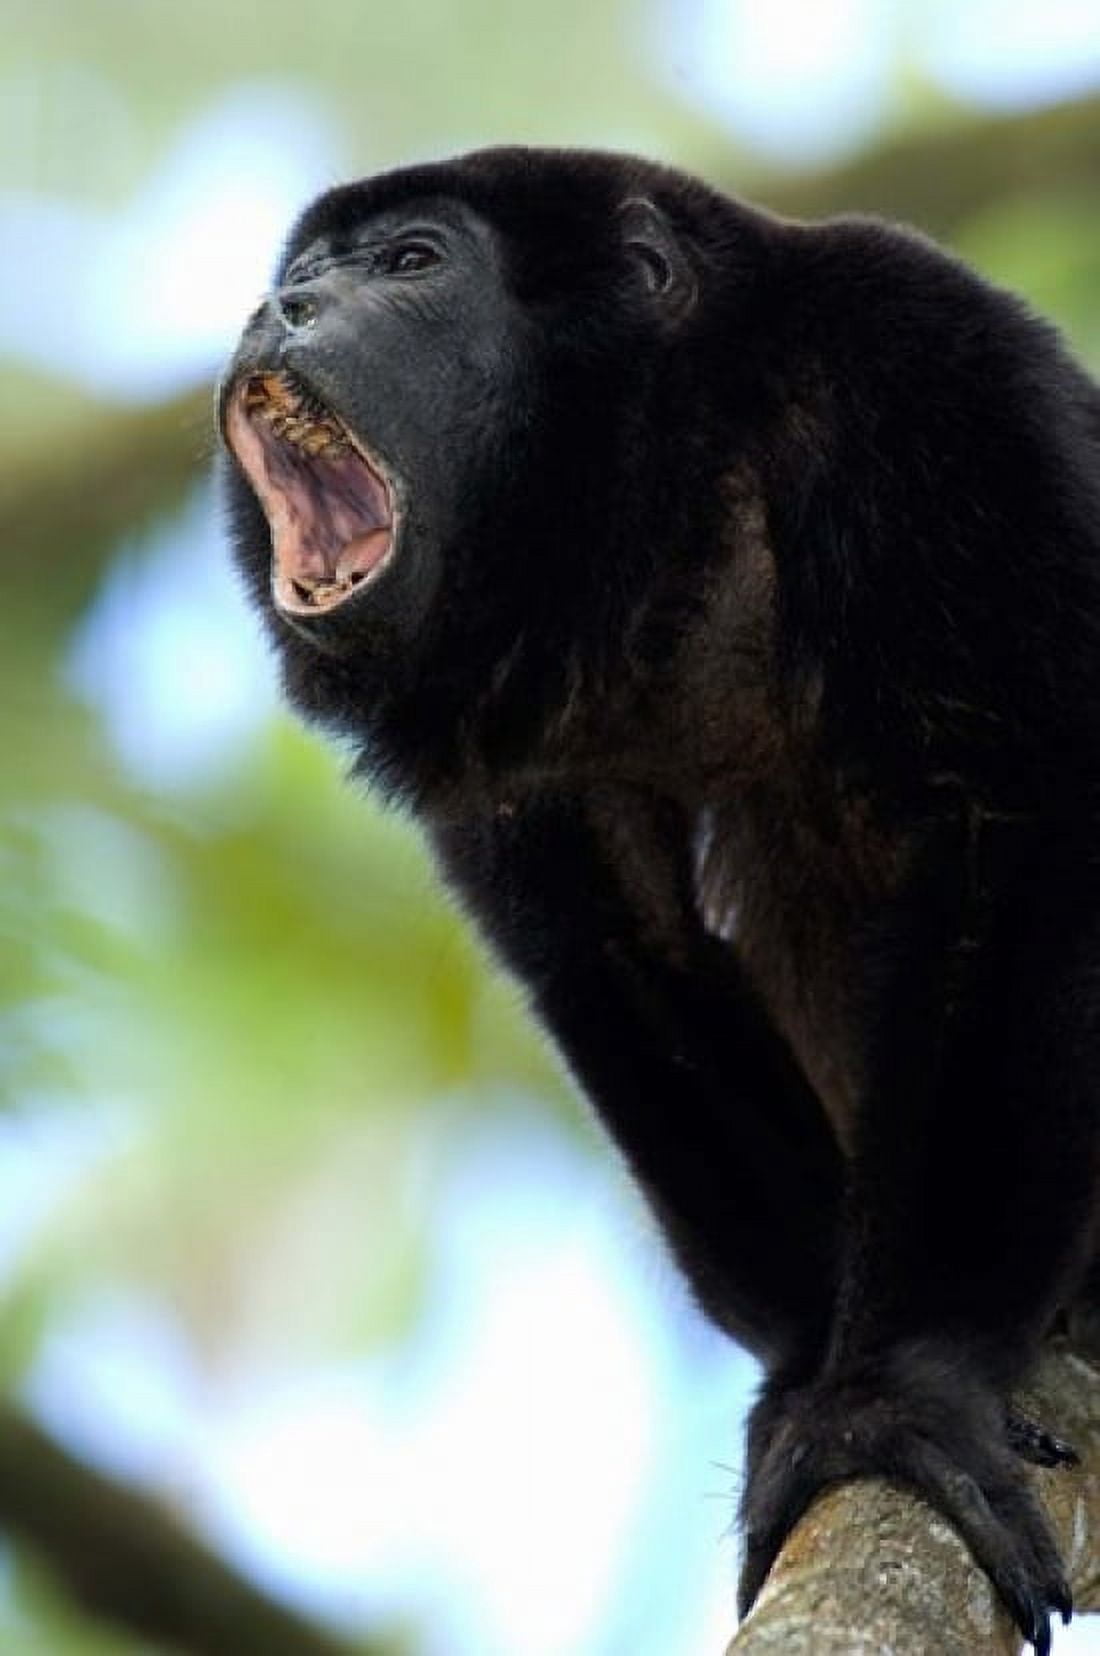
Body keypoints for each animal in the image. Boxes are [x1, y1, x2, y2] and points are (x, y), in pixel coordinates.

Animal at [218, 145, 1100, 1652]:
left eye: (410, 264)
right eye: (308, 271)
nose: (280, 305)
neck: (680, 491)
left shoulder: (938, 378)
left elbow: (1022, 823)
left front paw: (903, 1388)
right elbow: (619, 956)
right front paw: (808, 1376)